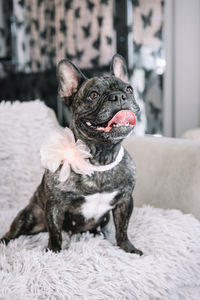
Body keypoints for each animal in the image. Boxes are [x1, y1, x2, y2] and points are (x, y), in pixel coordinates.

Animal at [0, 54, 142, 255]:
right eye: (93, 95)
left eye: (129, 90)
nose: (119, 96)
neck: (100, 159)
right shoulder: (55, 206)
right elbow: (55, 233)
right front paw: (53, 251)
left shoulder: (125, 202)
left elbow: (123, 229)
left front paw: (128, 248)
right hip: (29, 215)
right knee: (15, 231)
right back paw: (4, 241)